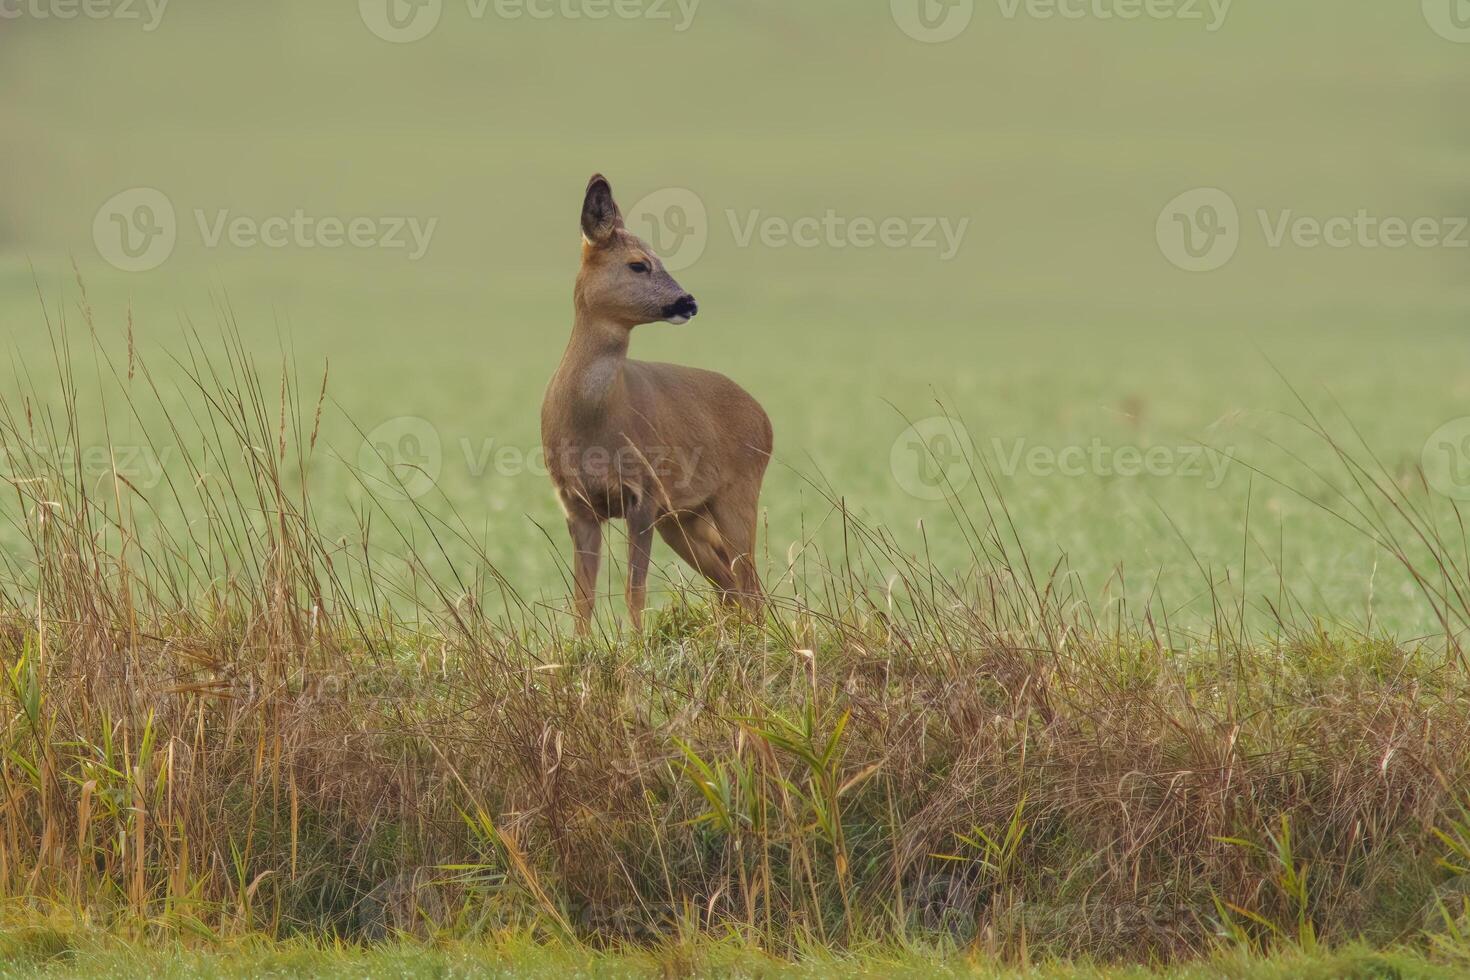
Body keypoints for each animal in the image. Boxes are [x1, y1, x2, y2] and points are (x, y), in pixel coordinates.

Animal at [543, 174, 776, 637]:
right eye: (638, 264)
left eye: (660, 258)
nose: (689, 302)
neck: (590, 422)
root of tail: (765, 418)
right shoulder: (576, 502)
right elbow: (582, 597)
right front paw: (580, 645)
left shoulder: (645, 491)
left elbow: (634, 588)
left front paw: (636, 642)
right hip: (684, 517)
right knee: (729, 585)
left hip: (737, 492)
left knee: (748, 583)